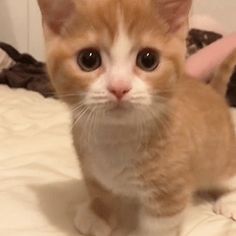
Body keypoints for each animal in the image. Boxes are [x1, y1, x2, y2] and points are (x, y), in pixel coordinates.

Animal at [37, 0, 236, 236]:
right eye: (88, 59)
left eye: (148, 60)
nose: (119, 87)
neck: (116, 135)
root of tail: (213, 91)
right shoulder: (90, 167)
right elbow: (98, 190)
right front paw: (97, 214)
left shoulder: (170, 190)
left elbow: (161, 223)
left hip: (220, 155)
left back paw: (229, 201)